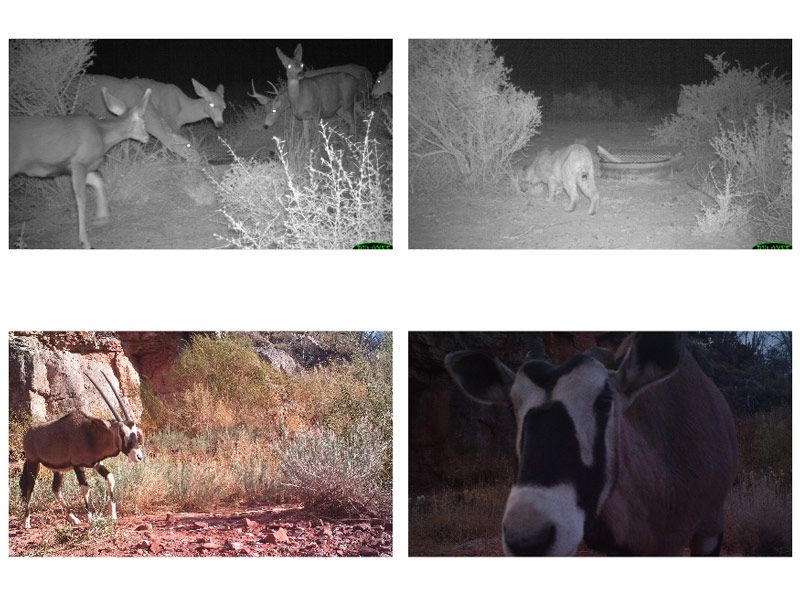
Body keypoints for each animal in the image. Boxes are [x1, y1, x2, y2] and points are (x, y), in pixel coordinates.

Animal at [9, 85, 152, 247]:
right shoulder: (79, 162)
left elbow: (98, 182)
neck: (102, 136)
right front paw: (85, 241)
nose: (147, 137)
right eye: (144, 123)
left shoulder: (74, 166)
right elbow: (81, 198)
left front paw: (102, 217)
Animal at [20, 372, 145, 528]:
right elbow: (85, 487)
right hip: (33, 463)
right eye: (122, 433)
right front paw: (91, 518)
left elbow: (110, 478)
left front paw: (113, 516)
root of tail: (28, 433)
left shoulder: (97, 463)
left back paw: (73, 518)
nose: (139, 456)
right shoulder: (77, 465)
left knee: (55, 489)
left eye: (135, 433)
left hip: (58, 469)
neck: (90, 436)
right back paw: (26, 522)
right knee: (30, 488)